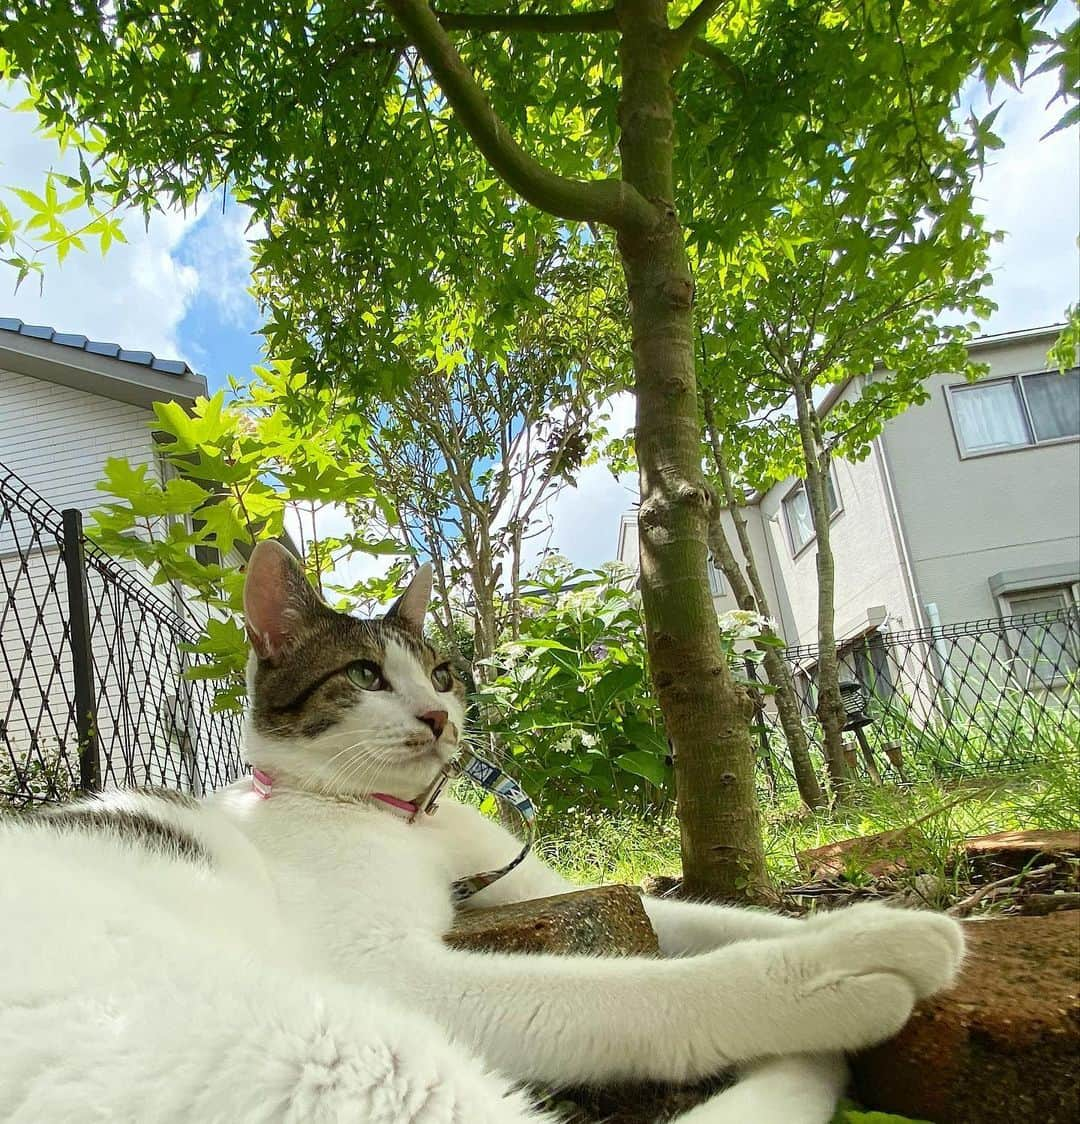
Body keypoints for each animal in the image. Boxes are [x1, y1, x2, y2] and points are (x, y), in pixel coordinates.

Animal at [0, 539, 961, 1119]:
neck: (405, 821)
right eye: (364, 676)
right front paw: (844, 964)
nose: (436, 717)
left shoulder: (544, 887)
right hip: (318, 1045)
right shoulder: (390, 974)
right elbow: (641, 992)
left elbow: (717, 917)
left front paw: (896, 923)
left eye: (441, 672)